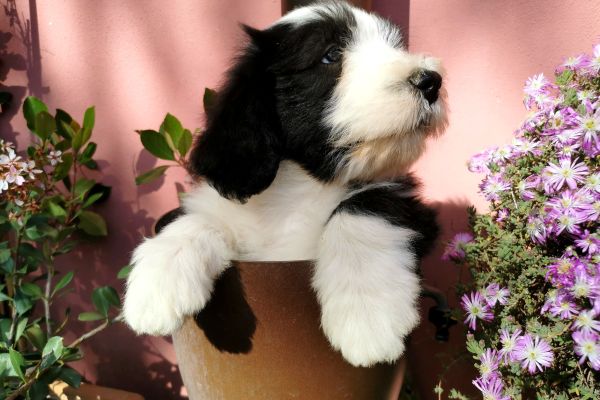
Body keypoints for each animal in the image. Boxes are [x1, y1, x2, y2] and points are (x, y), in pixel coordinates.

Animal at [124, 0, 446, 368]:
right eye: (330, 55)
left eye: (395, 46)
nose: (431, 81)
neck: (302, 186)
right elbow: (198, 219)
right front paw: (157, 284)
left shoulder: (413, 207)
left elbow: (363, 207)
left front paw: (366, 314)